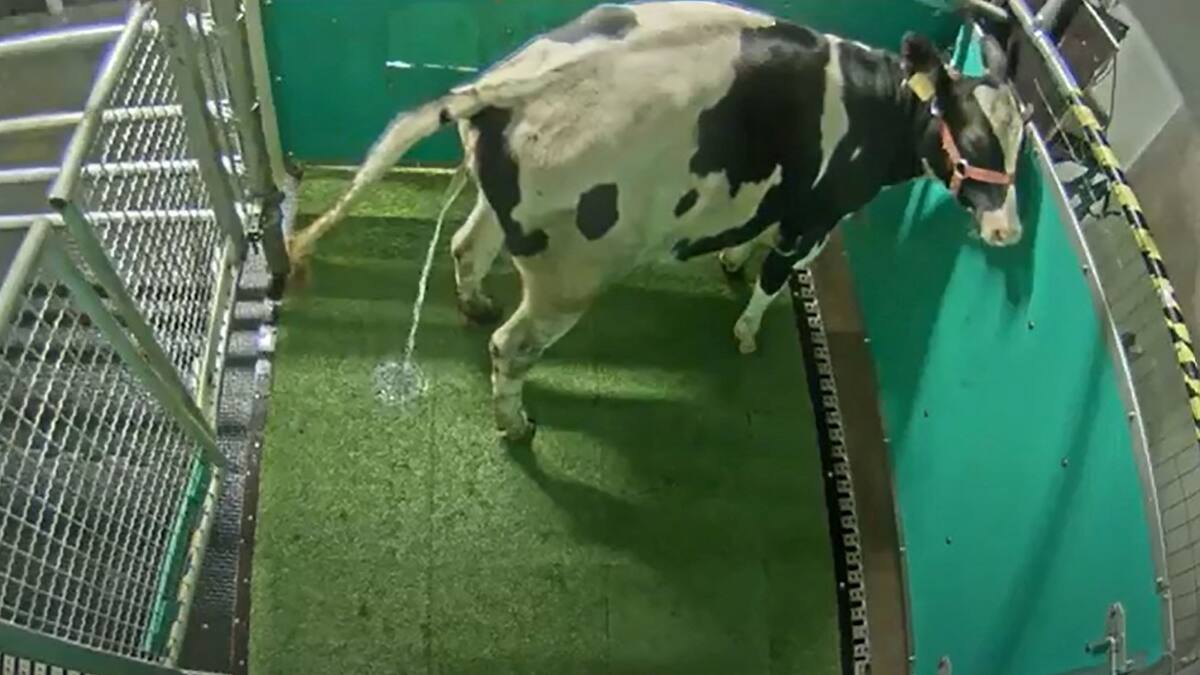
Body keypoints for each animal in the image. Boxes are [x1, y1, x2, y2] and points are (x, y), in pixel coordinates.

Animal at [287, 1, 1029, 443]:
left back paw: (474, 305)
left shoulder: (784, 199)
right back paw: (517, 424)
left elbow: (755, 243)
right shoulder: (820, 212)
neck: (875, 106)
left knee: (469, 250)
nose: (1010, 232)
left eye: (1020, 142)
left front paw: (731, 260)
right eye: (972, 136)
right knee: (511, 346)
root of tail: (508, 83)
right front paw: (747, 330)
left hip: (505, 215)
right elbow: (774, 277)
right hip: (570, 277)